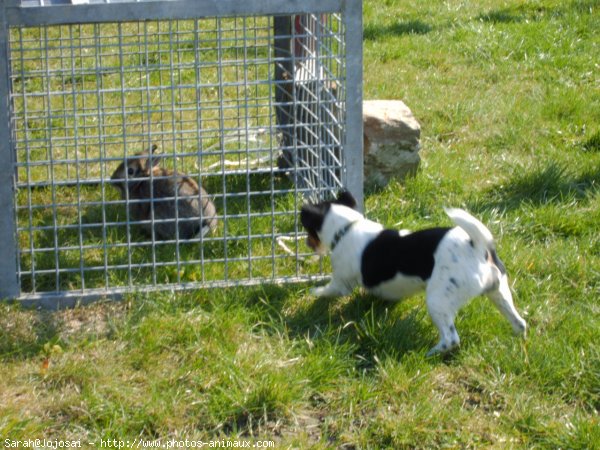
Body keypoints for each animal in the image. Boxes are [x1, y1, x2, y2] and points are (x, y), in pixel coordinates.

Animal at [300, 190, 524, 356]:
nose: (307, 243)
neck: (347, 227)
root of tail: (477, 247)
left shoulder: (341, 282)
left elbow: (328, 289)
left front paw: (314, 292)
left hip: (438, 300)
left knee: (451, 339)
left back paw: (428, 353)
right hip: (499, 290)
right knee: (519, 322)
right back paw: (518, 341)